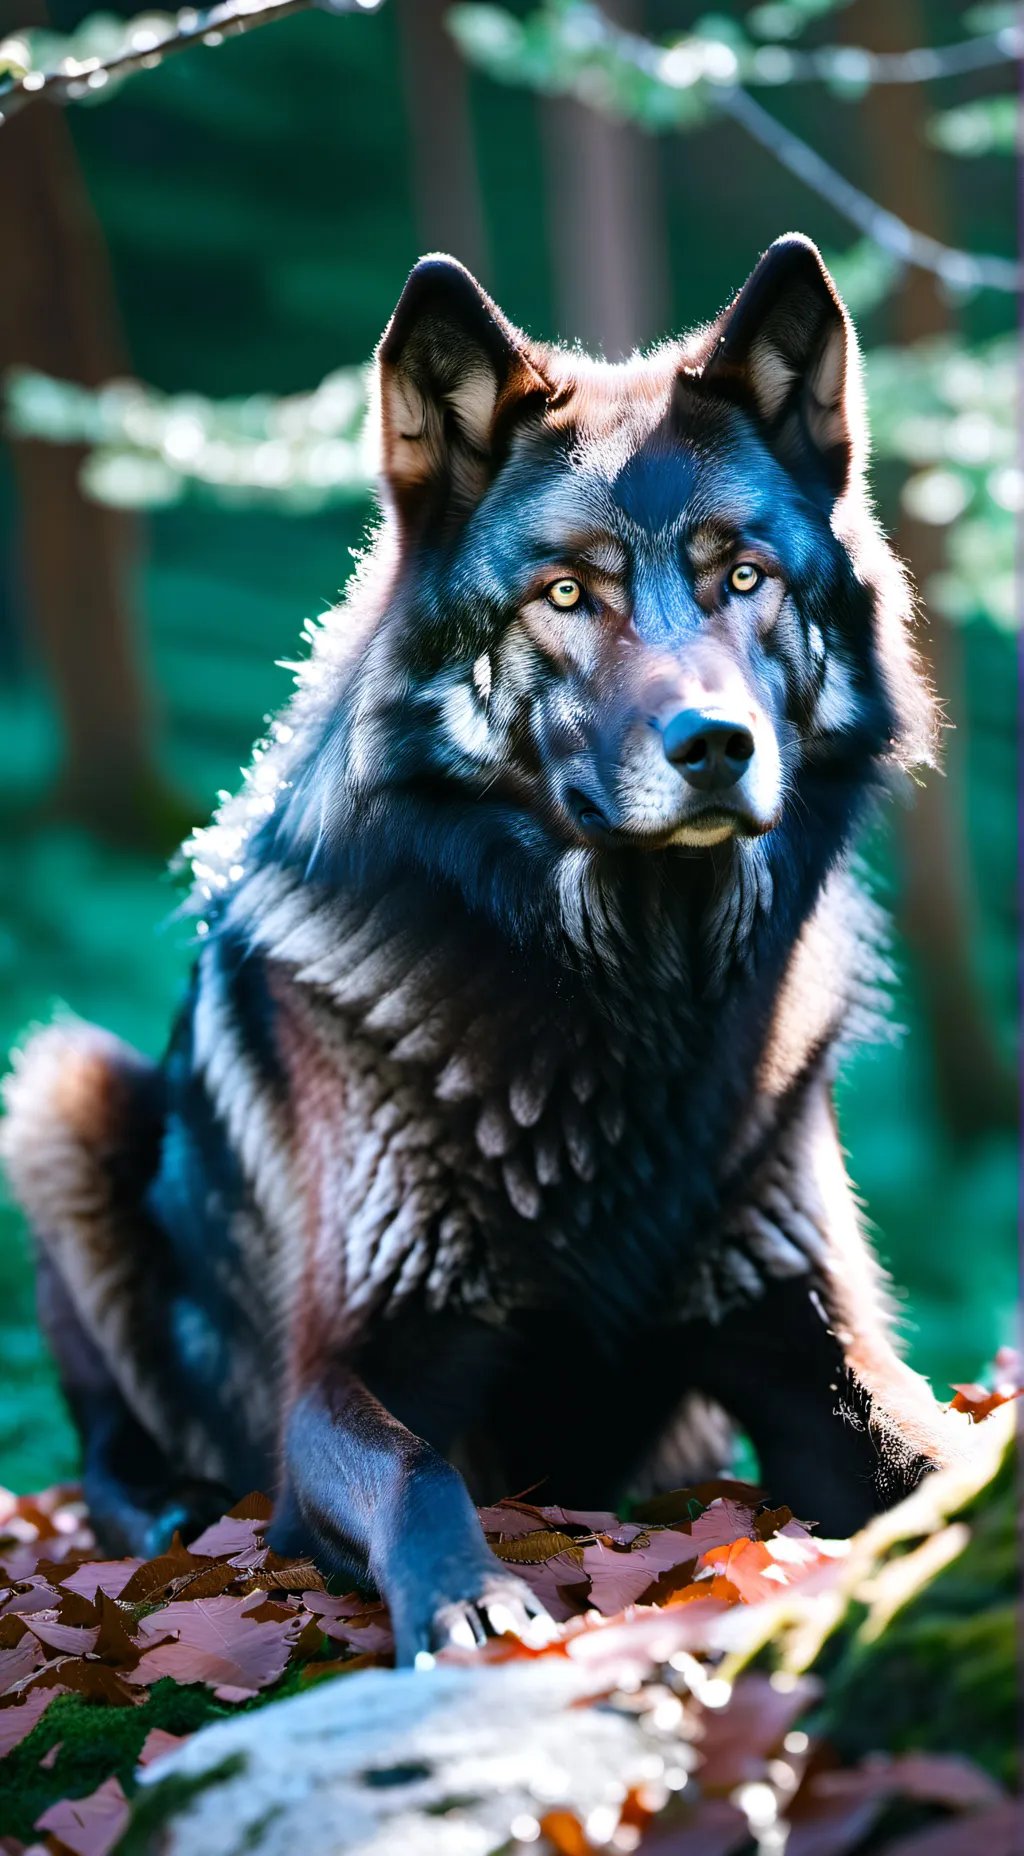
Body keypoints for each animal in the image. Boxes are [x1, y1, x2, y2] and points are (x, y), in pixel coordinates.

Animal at [2, 236, 963, 1662]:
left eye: (744, 577)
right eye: (567, 593)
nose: (716, 744)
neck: (634, 997)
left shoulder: (805, 1332)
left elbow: (935, 1451)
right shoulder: (342, 1372)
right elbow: (416, 1468)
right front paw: (470, 1600)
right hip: (59, 1092)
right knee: (108, 1443)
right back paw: (165, 1506)